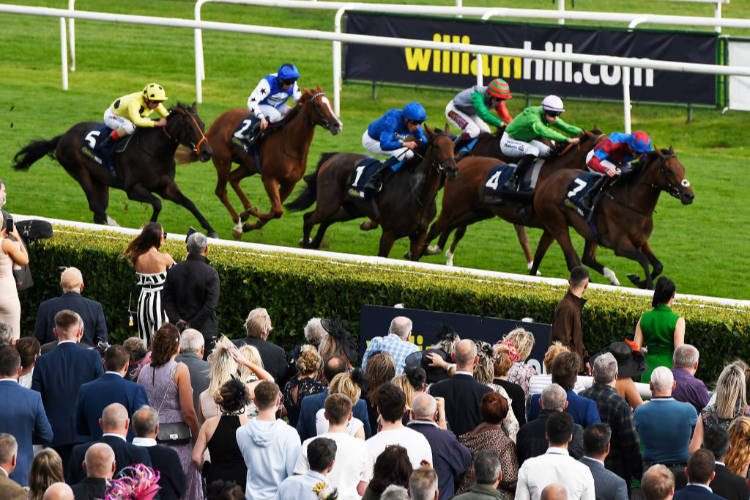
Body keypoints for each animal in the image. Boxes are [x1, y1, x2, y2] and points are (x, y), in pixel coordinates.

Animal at [184, 86, 342, 238]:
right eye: (318, 105)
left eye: (330, 103)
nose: (337, 125)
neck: (291, 144)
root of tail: (216, 122)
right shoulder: (269, 178)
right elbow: (277, 211)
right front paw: (253, 213)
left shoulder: (289, 184)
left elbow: (275, 211)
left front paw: (250, 222)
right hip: (224, 162)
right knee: (221, 191)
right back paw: (238, 224)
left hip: (249, 166)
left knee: (233, 178)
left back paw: (245, 212)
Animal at [286, 127, 458, 260]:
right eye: (436, 146)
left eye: (453, 146)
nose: (452, 170)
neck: (418, 195)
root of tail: (334, 157)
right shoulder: (389, 233)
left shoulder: (419, 235)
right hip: (328, 204)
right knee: (308, 219)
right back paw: (306, 246)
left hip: (352, 209)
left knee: (325, 220)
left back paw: (314, 244)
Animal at [420, 129, 608, 270]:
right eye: (601, 148)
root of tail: (463, 161)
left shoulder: (552, 225)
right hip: (456, 207)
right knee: (442, 226)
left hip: (476, 211)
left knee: (451, 226)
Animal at [532, 146, 696, 290]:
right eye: (669, 170)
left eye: (683, 168)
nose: (689, 195)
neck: (633, 203)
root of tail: (547, 181)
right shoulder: (620, 245)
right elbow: (643, 260)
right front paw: (648, 285)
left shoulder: (641, 241)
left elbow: (658, 265)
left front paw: (638, 281)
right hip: (558, 225)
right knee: (573, 261)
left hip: (581, 230)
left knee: (565, 255)